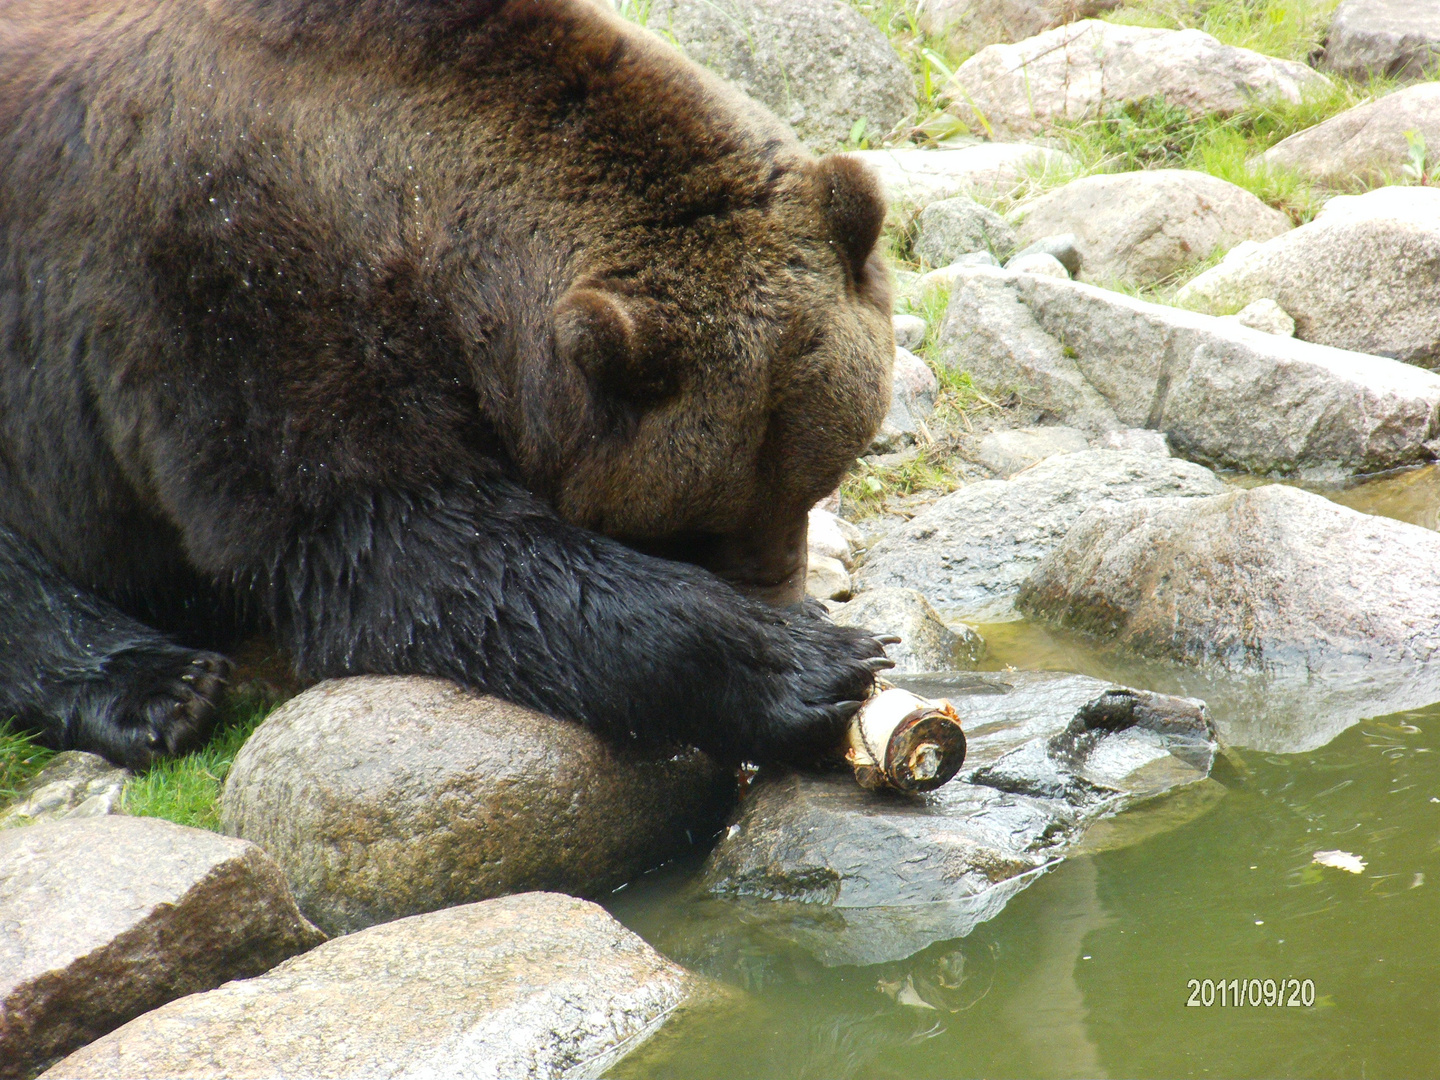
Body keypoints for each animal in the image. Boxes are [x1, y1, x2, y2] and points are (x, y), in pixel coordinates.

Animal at [0, 0, 892, 771]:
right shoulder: (238, 298)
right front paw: (812, 665)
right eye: (700, 523)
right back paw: (158, 685)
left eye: (814, 484)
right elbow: (404, 544)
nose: (781, 593)